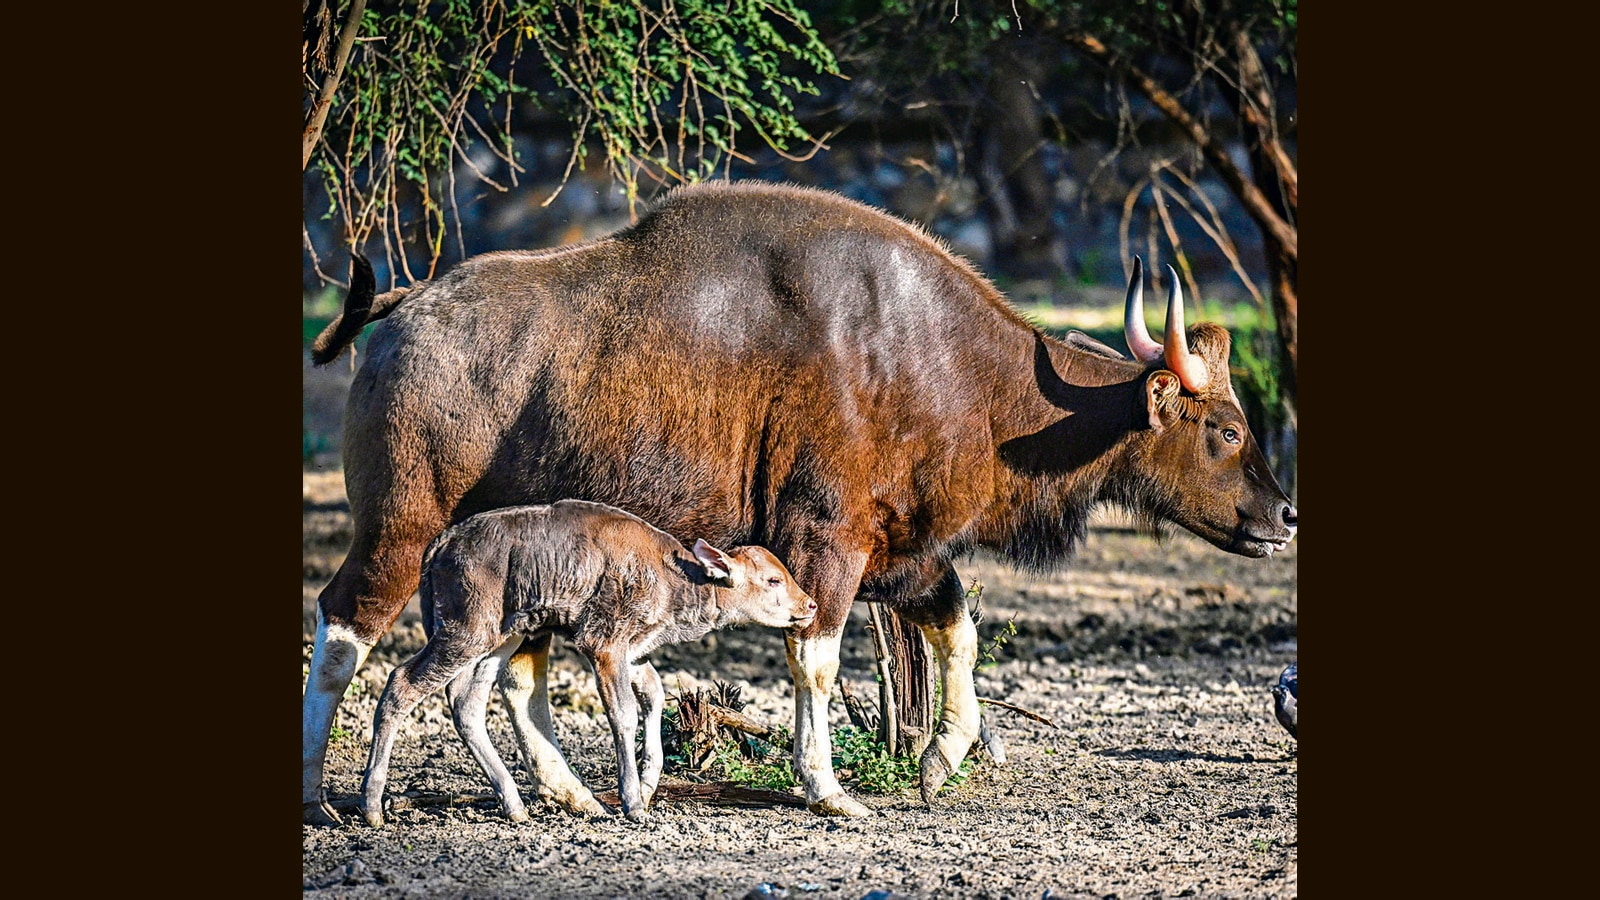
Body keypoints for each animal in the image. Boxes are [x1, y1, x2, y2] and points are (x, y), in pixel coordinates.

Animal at [360, 496, 812, 819]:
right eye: (773, 579)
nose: (809, 604)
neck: (677, 576)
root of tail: (439, 545)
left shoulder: (634, 652)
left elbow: (655, 693)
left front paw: (649, 783)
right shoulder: (604, 645)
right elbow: (623, 712)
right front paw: (633, 803)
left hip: (502, 637)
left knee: (466, 702)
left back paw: (515, 806)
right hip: (465, 632)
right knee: (402, 683)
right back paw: (371, 806)